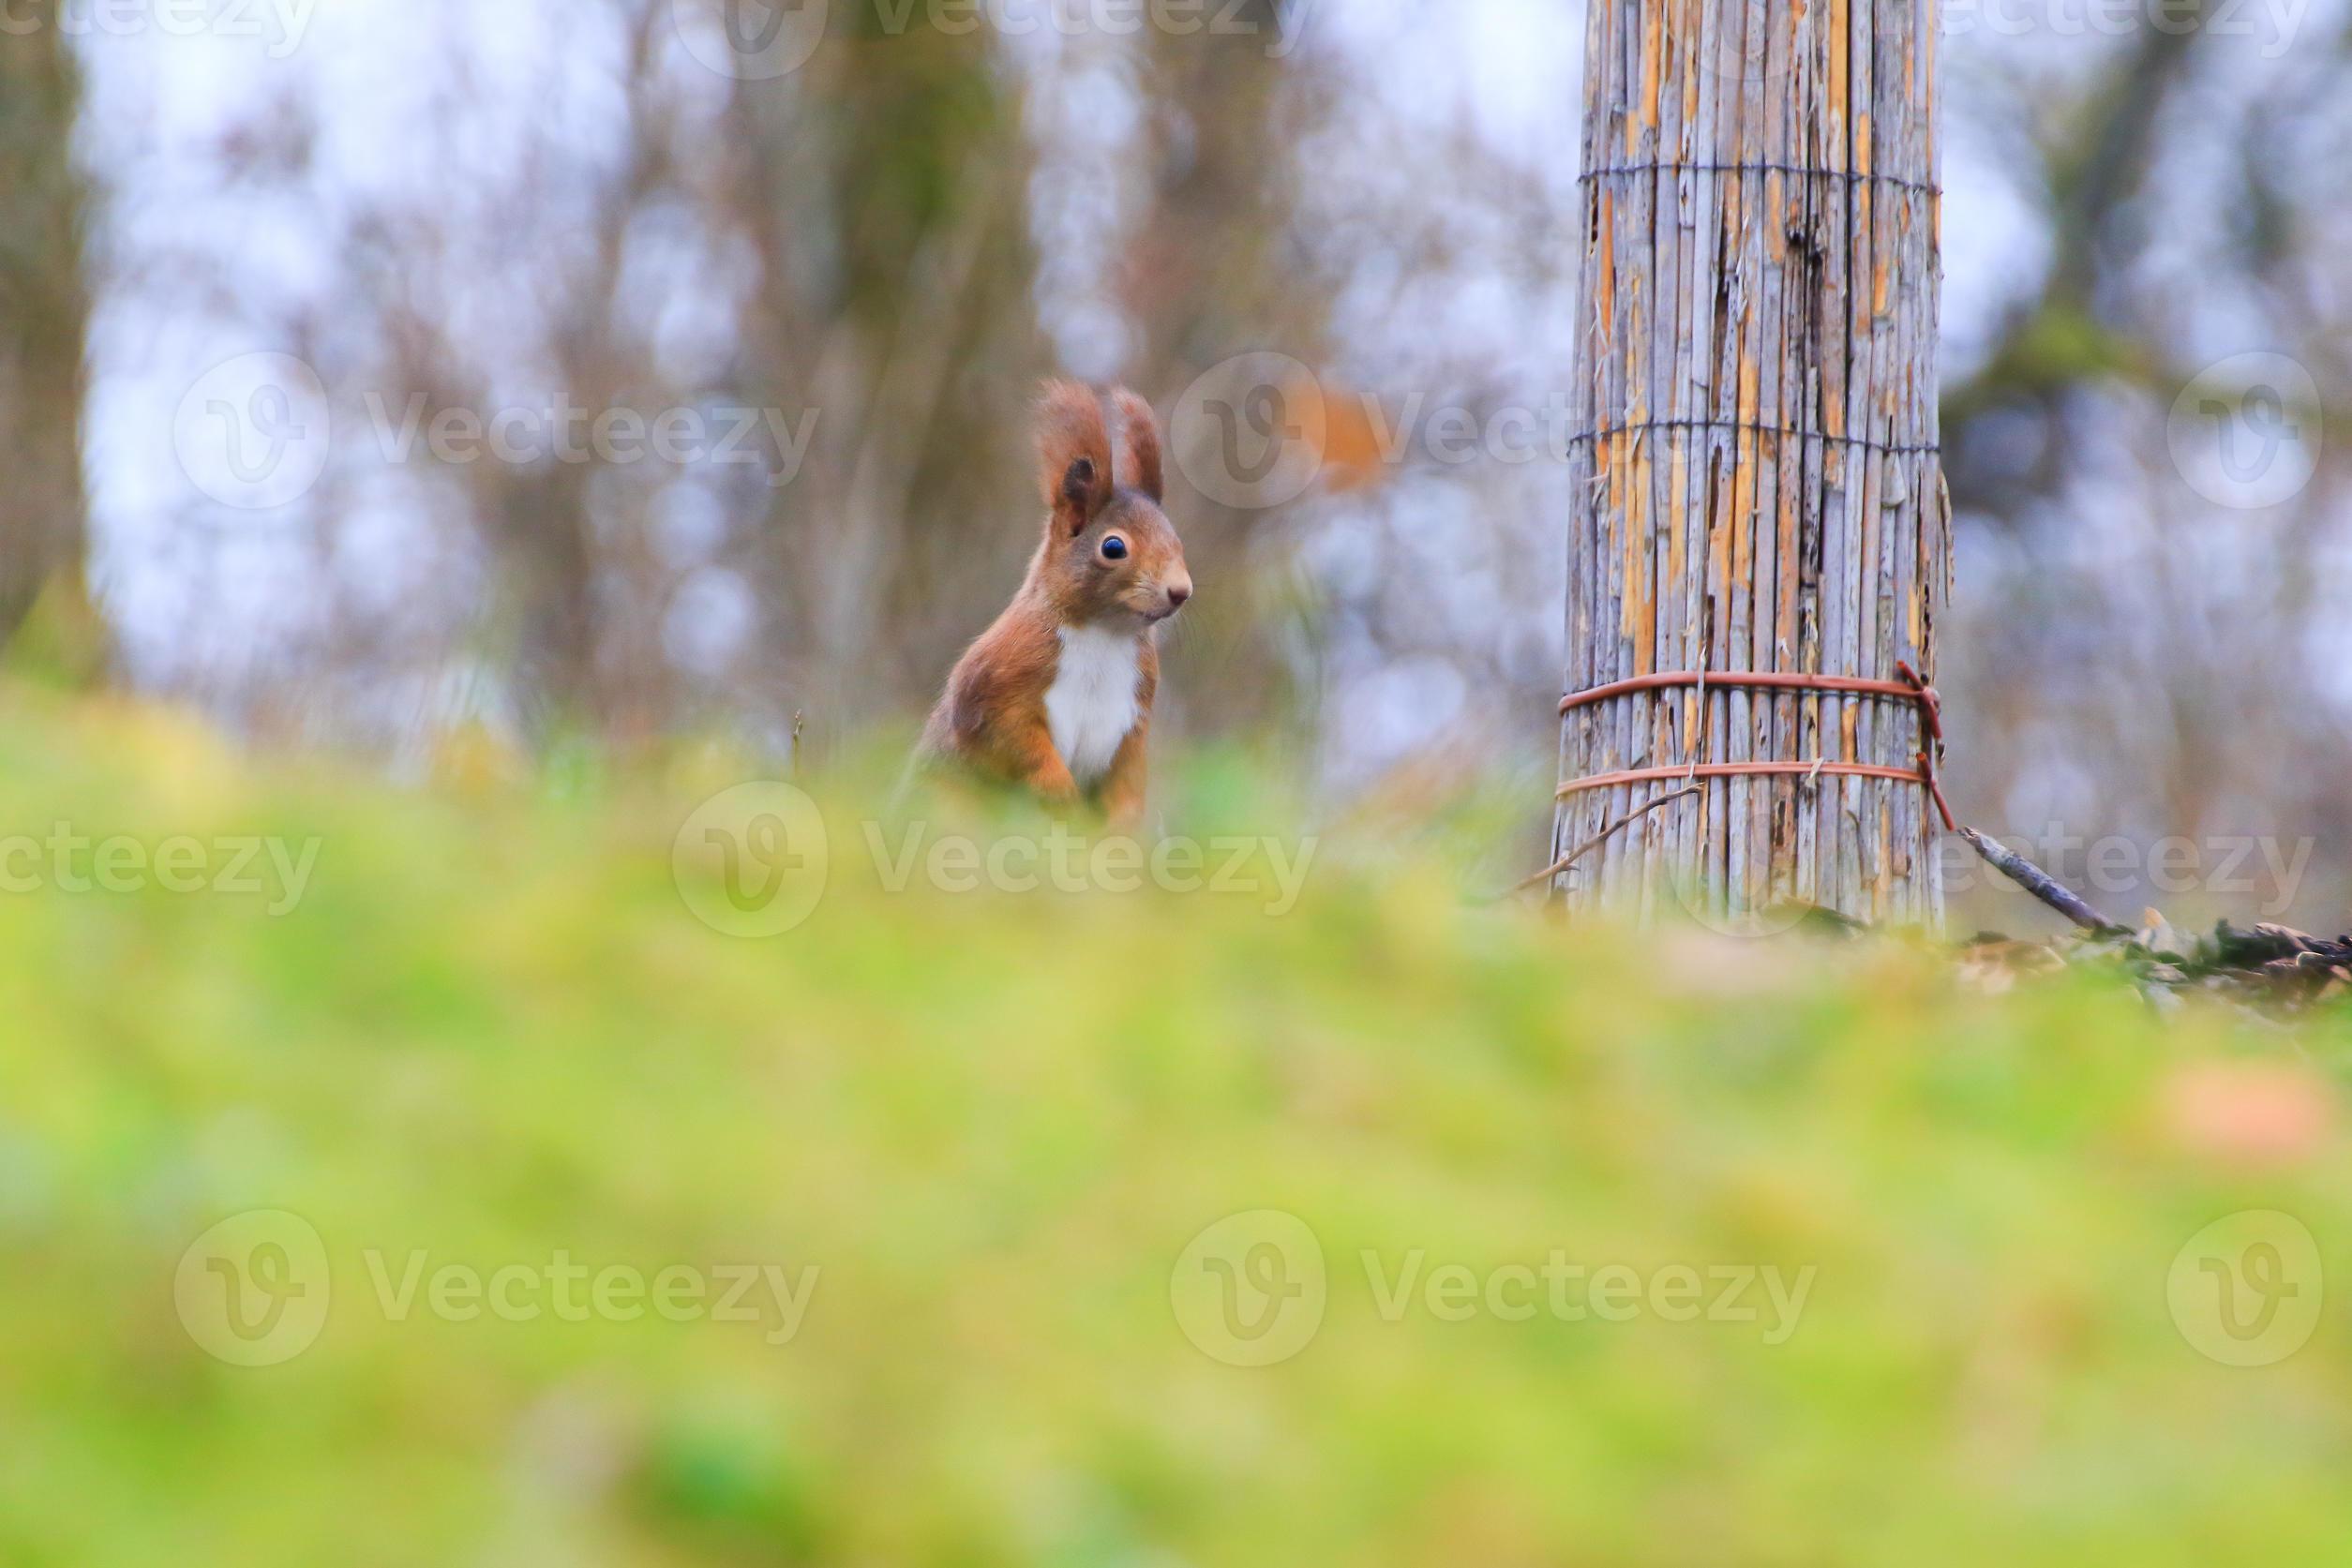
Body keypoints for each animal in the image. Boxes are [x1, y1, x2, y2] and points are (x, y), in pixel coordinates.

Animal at [917, 381, 1194, 827]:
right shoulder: (998, 683)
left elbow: (1128, 778)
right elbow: (1018, 744)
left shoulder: (1134, 720)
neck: (1104, 634)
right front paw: (1060, 793)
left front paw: (1121, 825)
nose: (1180, 591)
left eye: (1177, 541)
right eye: (1113, 547)